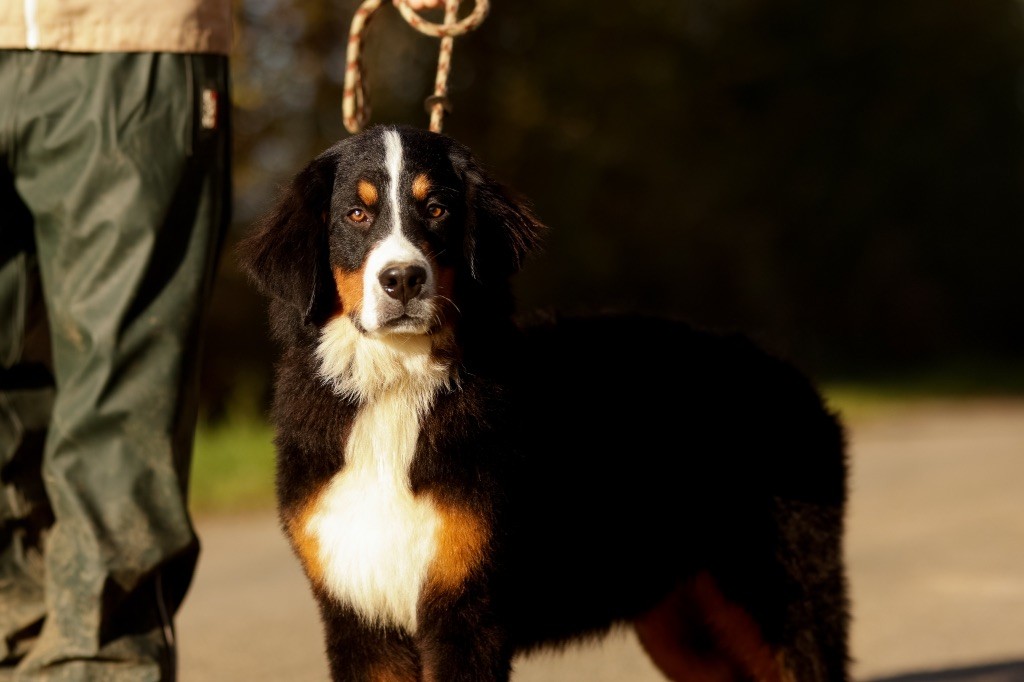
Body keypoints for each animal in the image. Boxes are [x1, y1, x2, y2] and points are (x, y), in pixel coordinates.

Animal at [235, 123, 851, 679]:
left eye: (436, 209)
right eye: (356, 215)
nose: (403, 279)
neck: (396, 386)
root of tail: (790, 372)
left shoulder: (466, 609)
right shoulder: (362, 618)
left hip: (780, 597)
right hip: (685, 624)